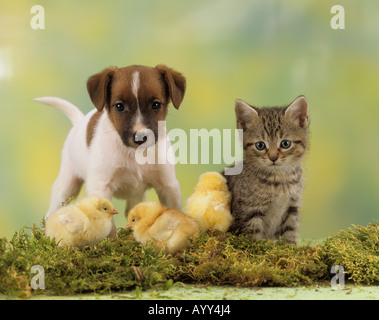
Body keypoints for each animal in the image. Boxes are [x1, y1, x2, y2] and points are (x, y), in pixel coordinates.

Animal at [35, 64, 186, 238]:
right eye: (119, 106)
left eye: (156, 105)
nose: (140, 137)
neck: (134, 154)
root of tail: (78, 122)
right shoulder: (100, 186)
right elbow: (109, 226)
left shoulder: (168, 185)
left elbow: (173, 211)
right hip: (66, 185)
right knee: (52, 210)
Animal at [226, 96, 308, 244]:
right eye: (260, 145)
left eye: (285, 143)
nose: (273, 157)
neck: (280, 179)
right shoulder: (248, 211)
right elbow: (253, 239)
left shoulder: (292, 208)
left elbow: (289, 233)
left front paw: (290, 247)